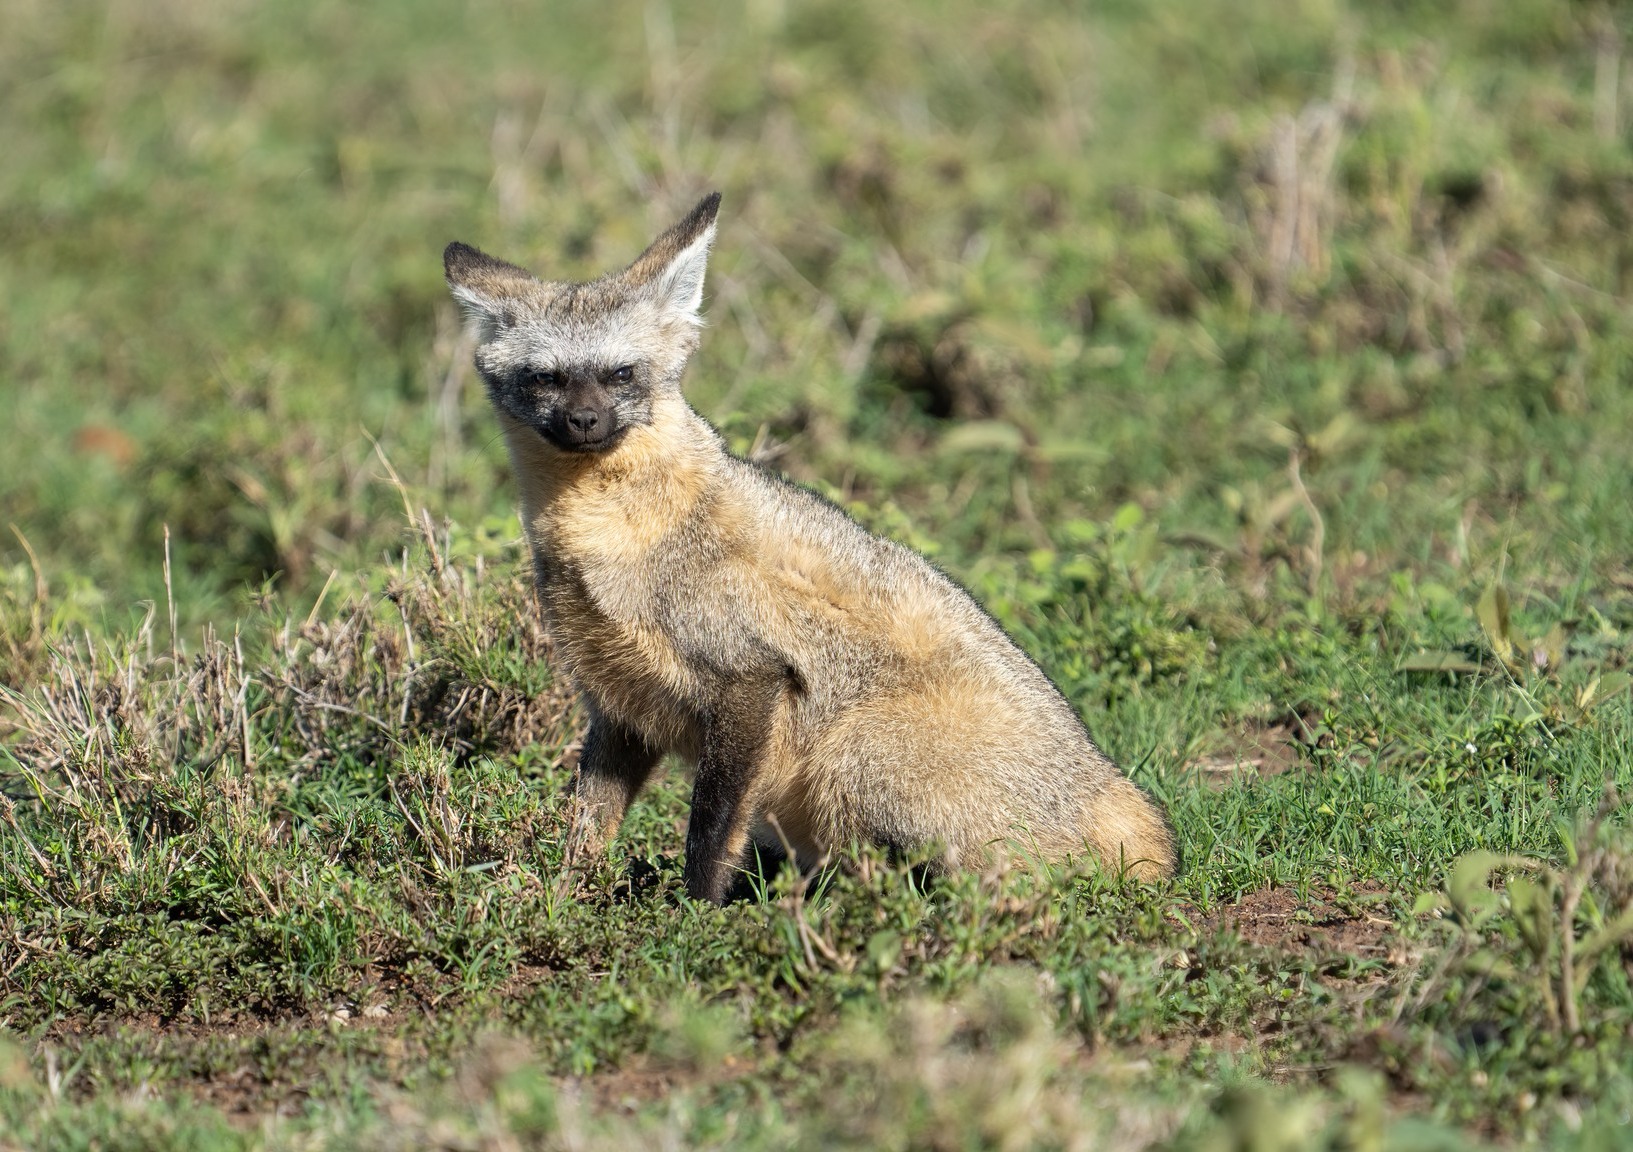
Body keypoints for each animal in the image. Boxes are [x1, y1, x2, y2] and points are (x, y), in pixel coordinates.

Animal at [442, 192, 1177, 904]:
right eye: (546, 379)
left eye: (621, 373)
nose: (585, 421)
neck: (615, 537)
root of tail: (1119, 795)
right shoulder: (620, 710)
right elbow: (585, 827)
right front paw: (562, 896)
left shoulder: (751, 677)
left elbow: (709, 830)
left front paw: (691, 915)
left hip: (852, 754)